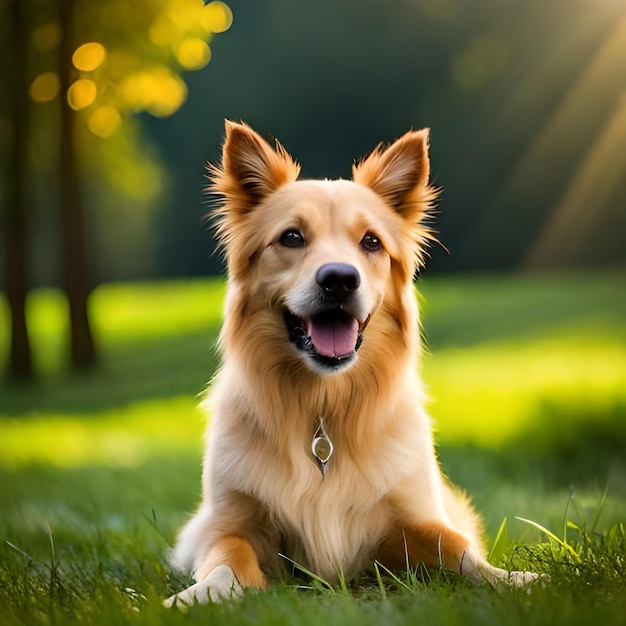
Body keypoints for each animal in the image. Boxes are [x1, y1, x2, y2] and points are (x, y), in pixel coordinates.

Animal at [165, 119, 532, 604]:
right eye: (292, 237)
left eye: (371, 242)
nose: (339, 279)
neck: (324, 403)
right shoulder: (228, 522)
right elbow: (227, 559)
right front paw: (195, 597)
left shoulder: (410, 520)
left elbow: (456, 549)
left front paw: (519, 580)